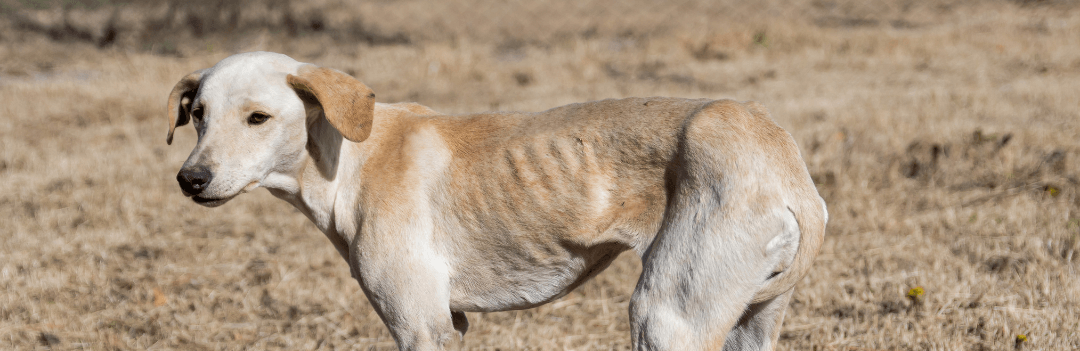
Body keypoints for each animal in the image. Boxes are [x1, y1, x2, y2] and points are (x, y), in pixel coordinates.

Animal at [166, 51, 825, 349]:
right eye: (198, 115)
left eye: (258, 117)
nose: (190, 180)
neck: (352, 158)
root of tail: (782, 159)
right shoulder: (450, 325)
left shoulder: (421, 327)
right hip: (749, 324)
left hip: (665, 319)